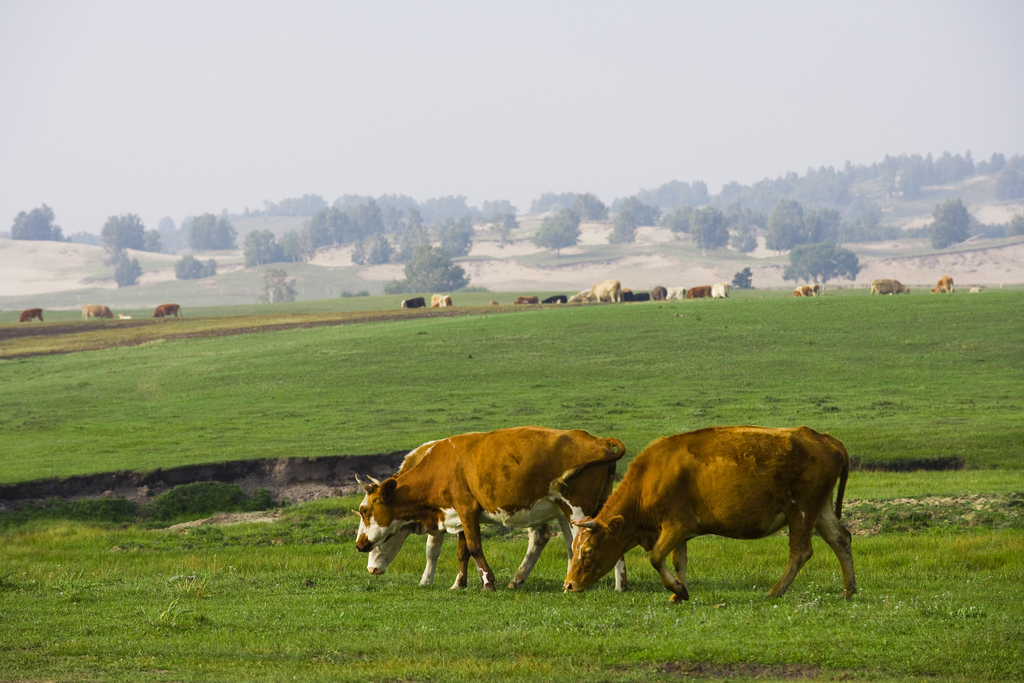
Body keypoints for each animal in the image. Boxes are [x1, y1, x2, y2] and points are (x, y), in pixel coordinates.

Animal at [356, 428, 626, 593]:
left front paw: (487, 581)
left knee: (576, 542)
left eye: (365, 510)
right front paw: (459, 584)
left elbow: (472, 547)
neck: (438, 465)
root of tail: (597, 440)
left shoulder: (465, 510)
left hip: (576, 509)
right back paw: (619, 583)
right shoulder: (455, 516)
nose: (359, 545)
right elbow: (461, 551)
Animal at [569, 428, 856, 602]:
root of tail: (824, 438)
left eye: (588, 551)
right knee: (841, 539)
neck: (652, 476)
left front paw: (677, 590)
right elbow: (678, 562)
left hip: (802, 511)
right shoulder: (679, 533)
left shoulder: (676, 525)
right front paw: (678, 593)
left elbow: (656, 557)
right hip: (821, 509)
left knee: (801, 551)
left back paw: (774, 592)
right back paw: (848, 590)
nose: (568, 585)